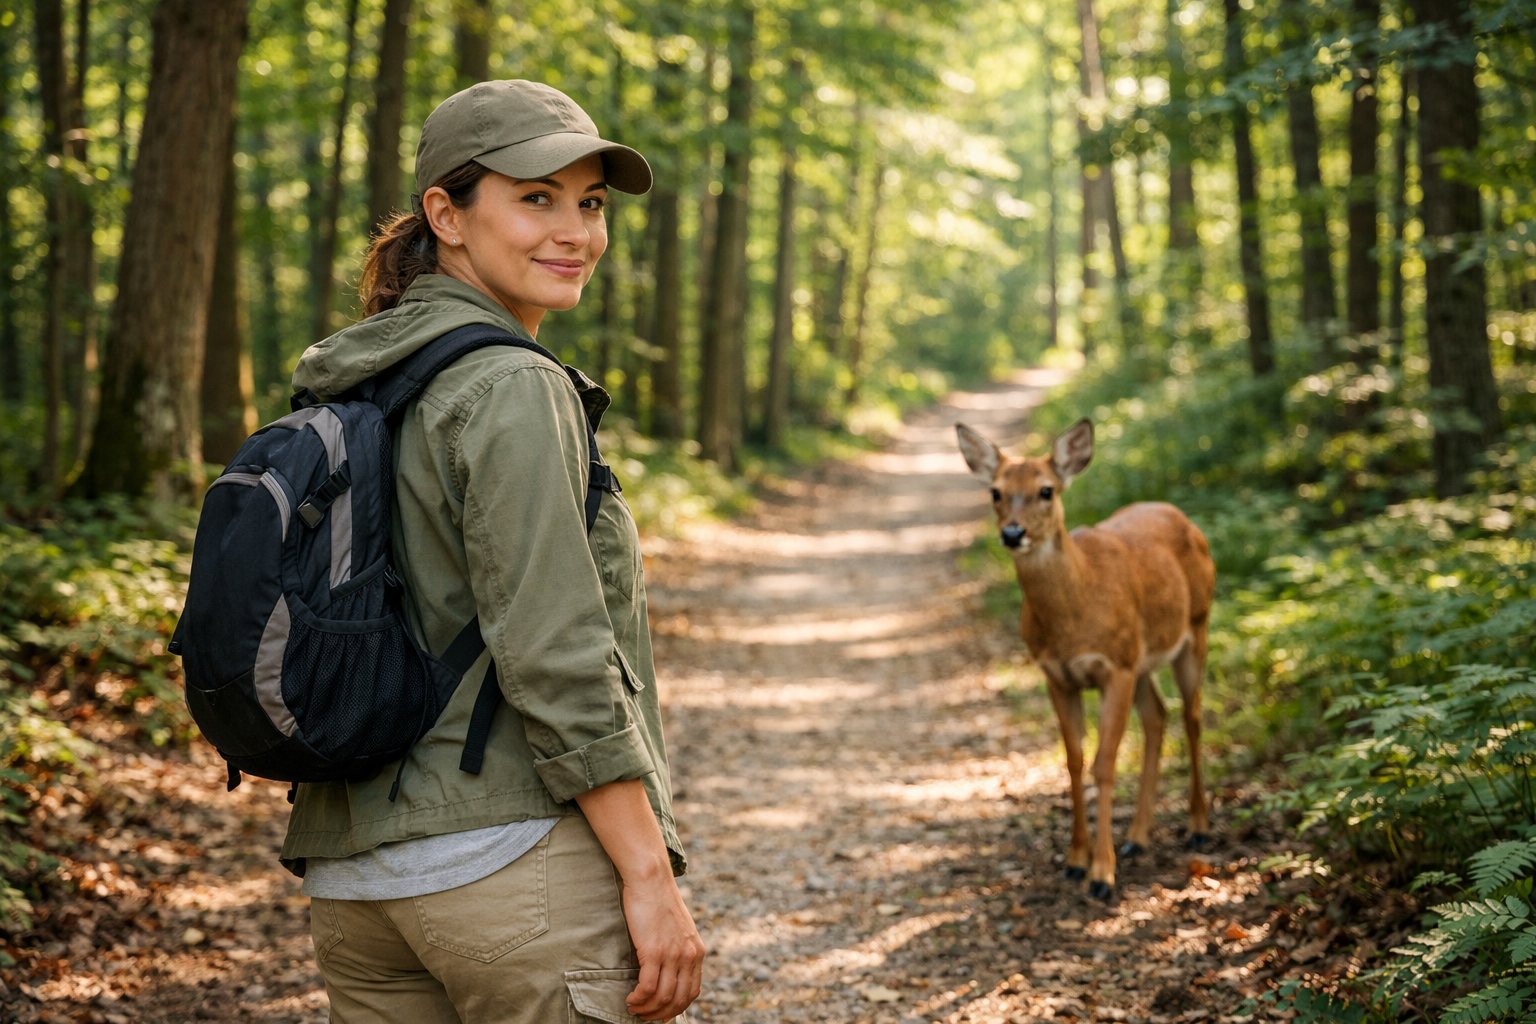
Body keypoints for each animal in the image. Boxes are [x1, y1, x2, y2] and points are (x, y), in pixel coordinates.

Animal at [955, 418, 1214, 900]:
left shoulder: (1115, 667)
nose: (1013, 534)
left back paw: (1199, 827)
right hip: (1142, 658)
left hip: (1196, 626)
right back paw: (1137, 836)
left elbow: (1104, 763)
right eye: (995, 491)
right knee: (1158, 715)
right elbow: (1074, 762)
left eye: (1046, 490)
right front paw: (1076, 861)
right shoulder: (1057, 675)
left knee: (1192, 717)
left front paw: (1102, 874)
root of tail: (1183, 516)